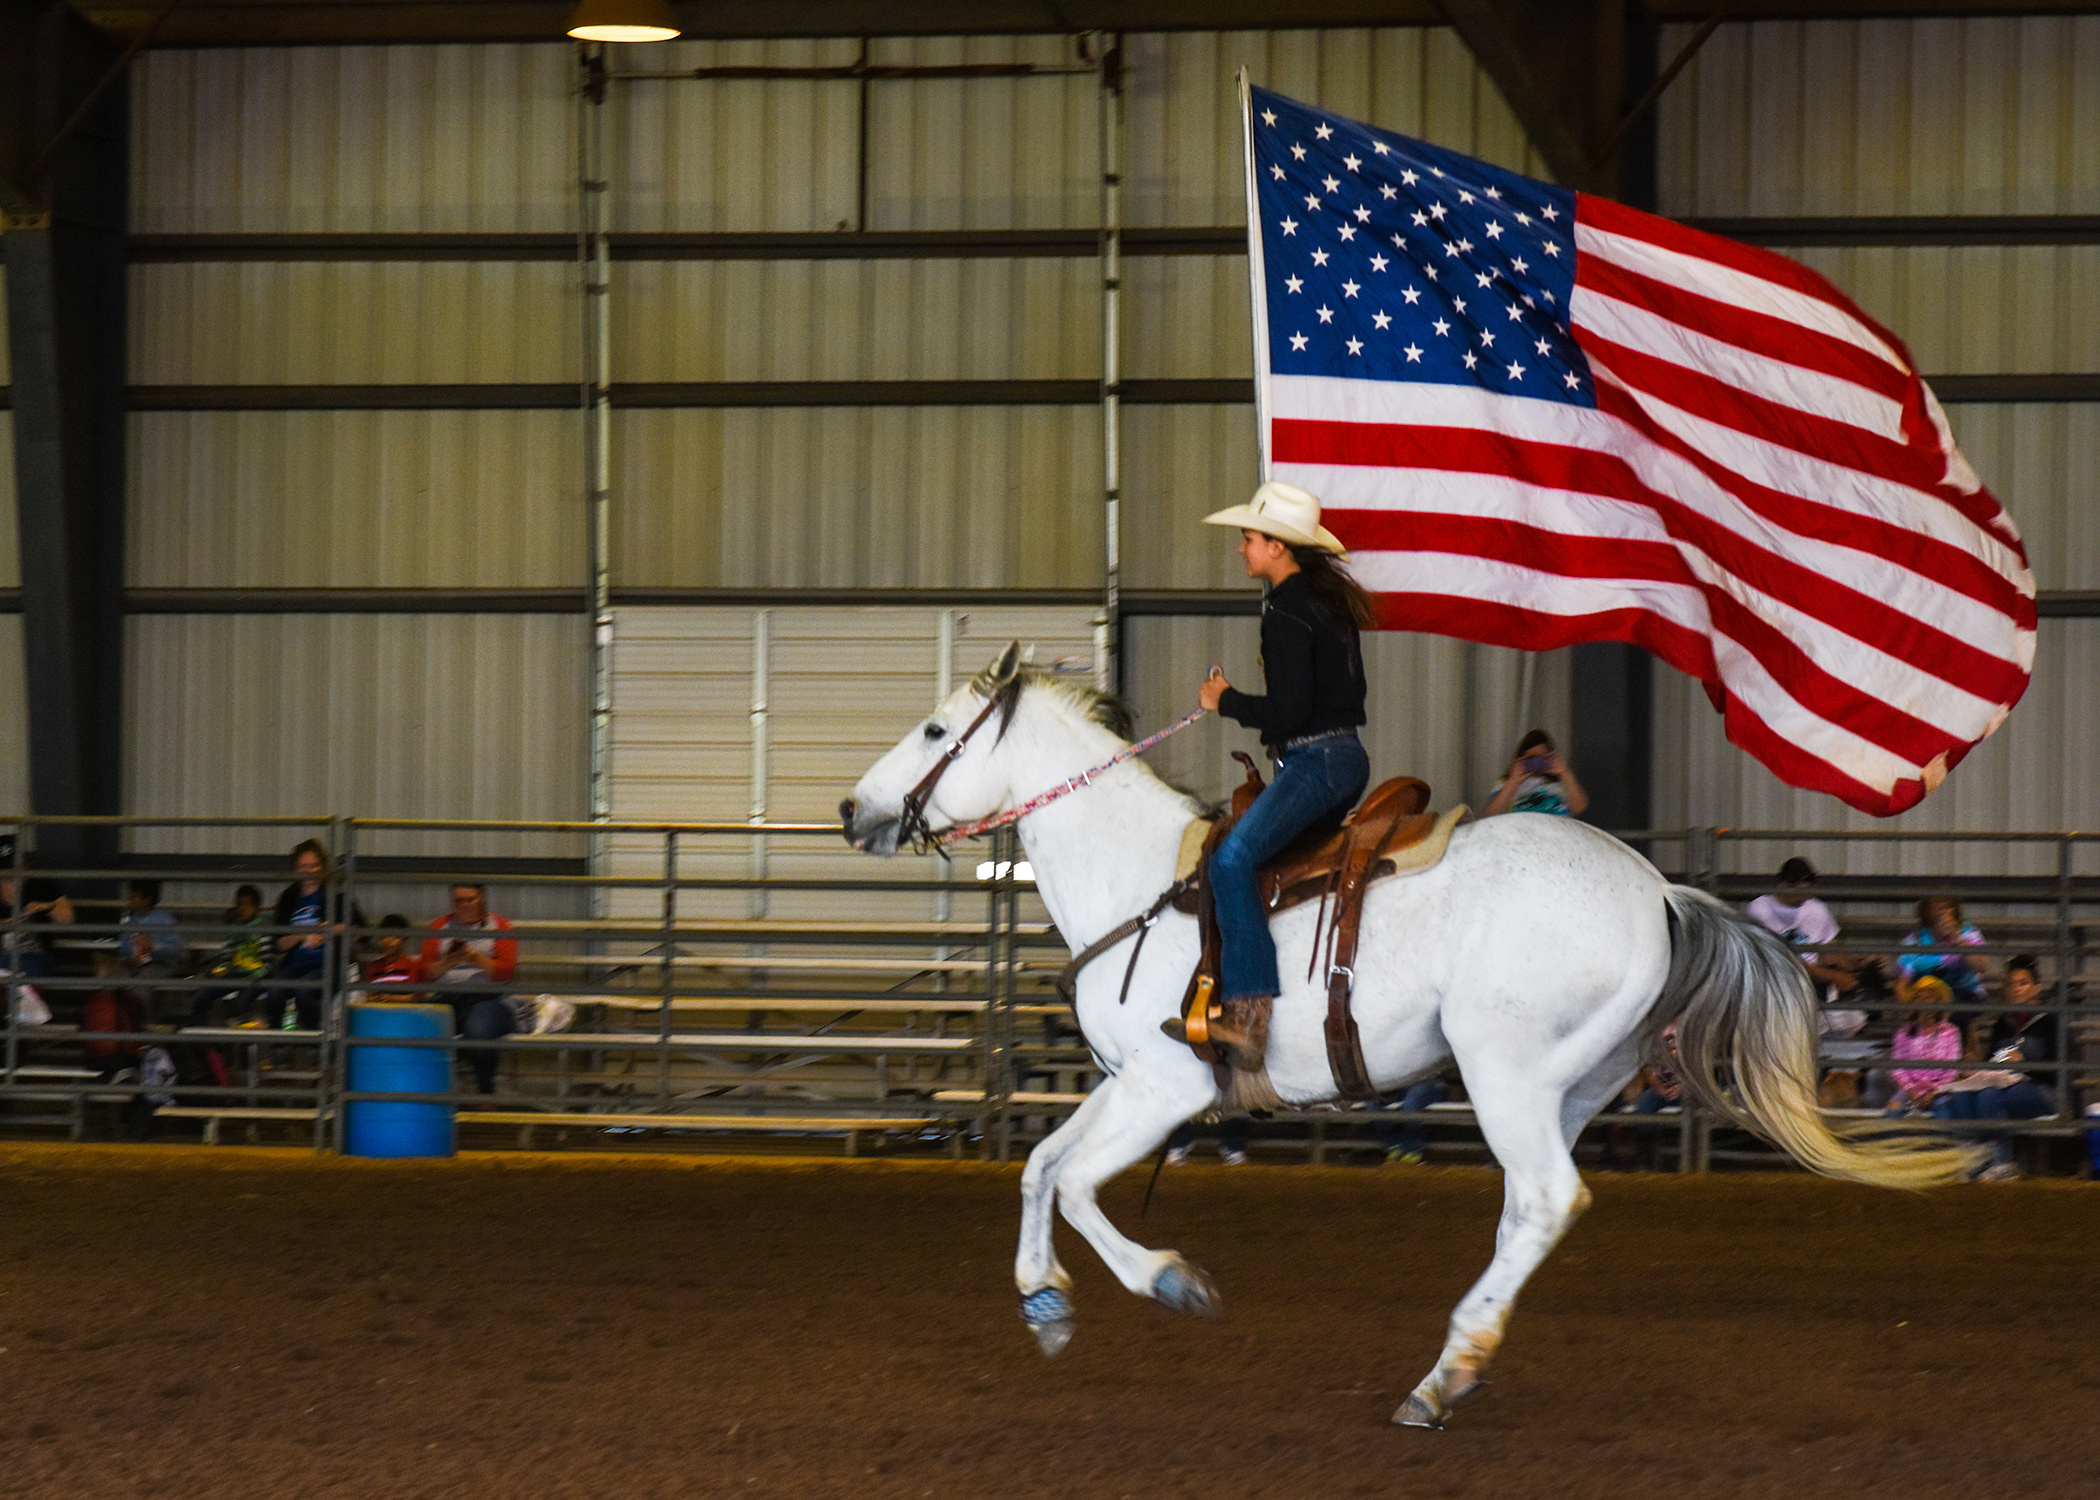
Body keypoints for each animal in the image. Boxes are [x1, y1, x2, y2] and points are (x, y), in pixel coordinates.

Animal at [835, 642, 1965, 1428]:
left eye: (933, 731)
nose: (852, 810)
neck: (1143, 881)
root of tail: (1660, 890)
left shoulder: (1168, 1088)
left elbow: (1073, 1183)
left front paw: (1172, 1282)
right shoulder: (1126, 1082)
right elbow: (1038, 1169)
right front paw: (1044, 1304)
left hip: (1505, 1073)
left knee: (1546, 1199)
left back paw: (1443, 1376)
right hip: (1568, 1086)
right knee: (1526, 1212)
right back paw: (1456, 1367)